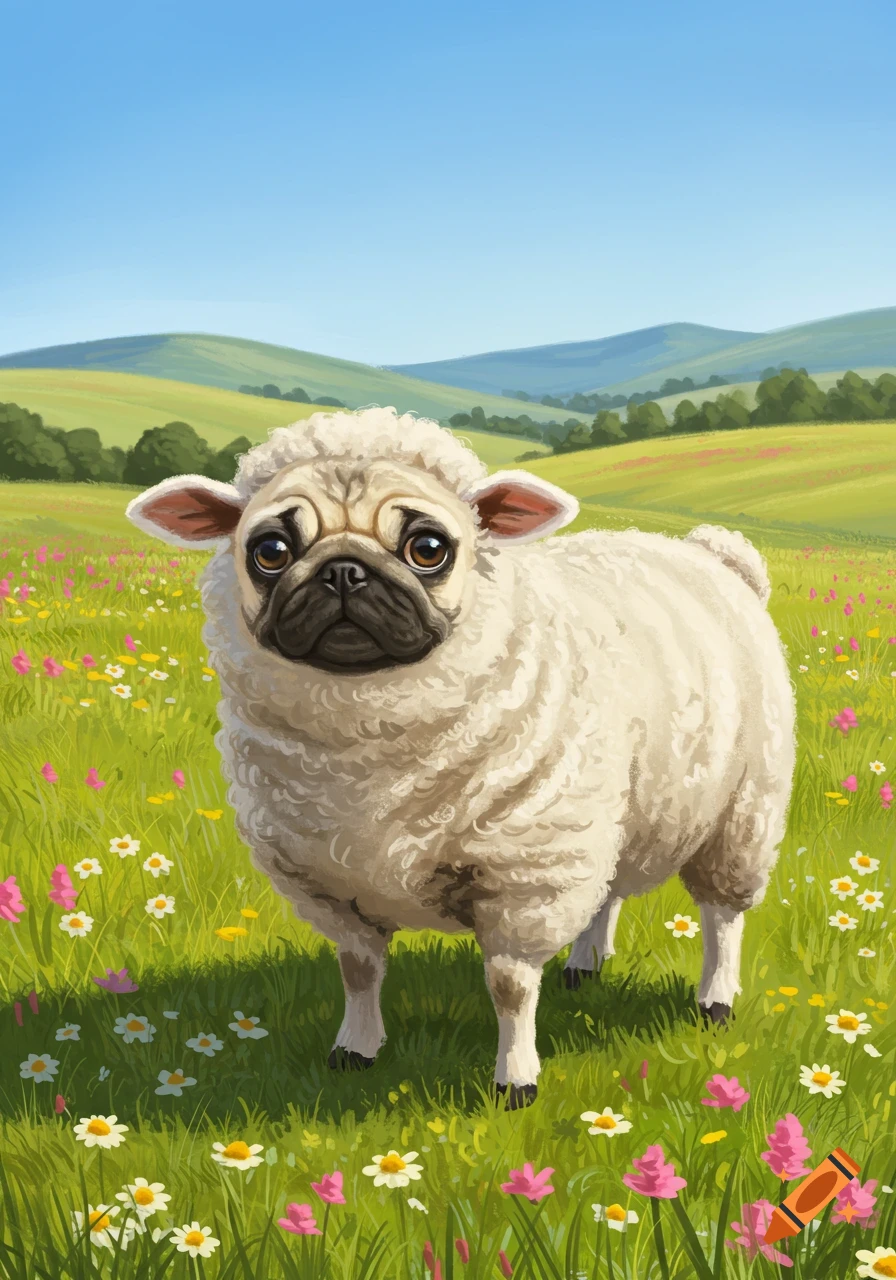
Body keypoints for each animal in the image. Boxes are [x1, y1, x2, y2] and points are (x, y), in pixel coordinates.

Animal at [127, 406, 796, 1108]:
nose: (343, 571)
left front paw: (515, 1081)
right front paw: (354, 1050)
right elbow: (358, 970)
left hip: (741, 812)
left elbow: (509, 987)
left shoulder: (524, 875)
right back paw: (585, 966)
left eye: (427, 548)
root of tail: (713, 553)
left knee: (722, 916)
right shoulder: (330, 881)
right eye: (271, 551)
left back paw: (715, 1001)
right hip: (612, 812)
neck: (367, 759)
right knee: (607, 890)